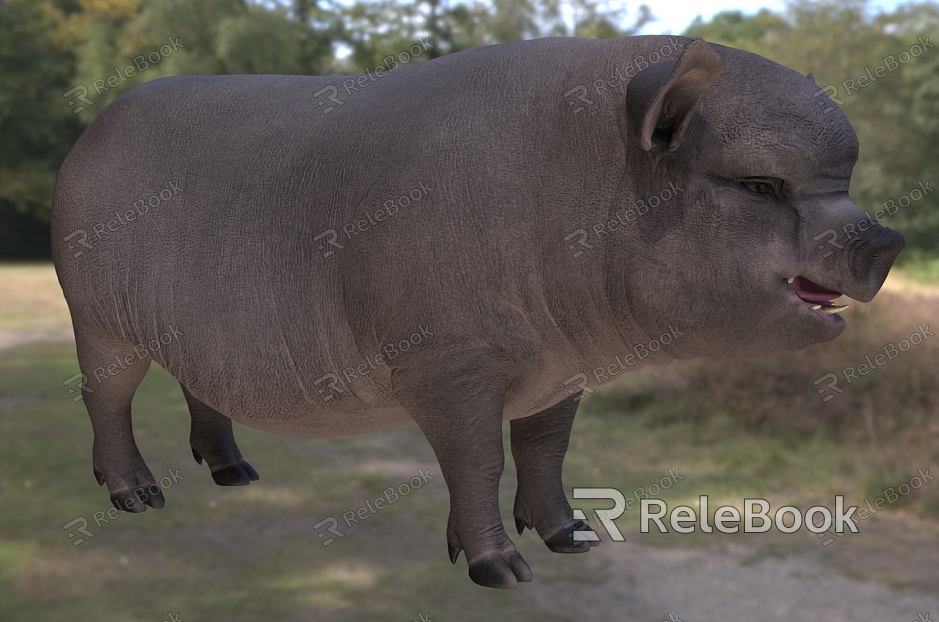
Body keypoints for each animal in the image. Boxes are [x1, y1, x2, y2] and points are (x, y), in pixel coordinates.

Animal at [49, 35, 904, 588]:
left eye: (840, 182)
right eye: (760, 186)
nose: (887, 239)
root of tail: (90, 135)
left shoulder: (561, 373)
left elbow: (544, 450)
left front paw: (574, 542)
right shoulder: (445, 360)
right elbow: (476, 460)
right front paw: (503, 573)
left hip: (187, 331)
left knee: (198, 386)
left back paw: (236, 475)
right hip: (93, 311)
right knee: (106, 397)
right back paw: (137, 497)